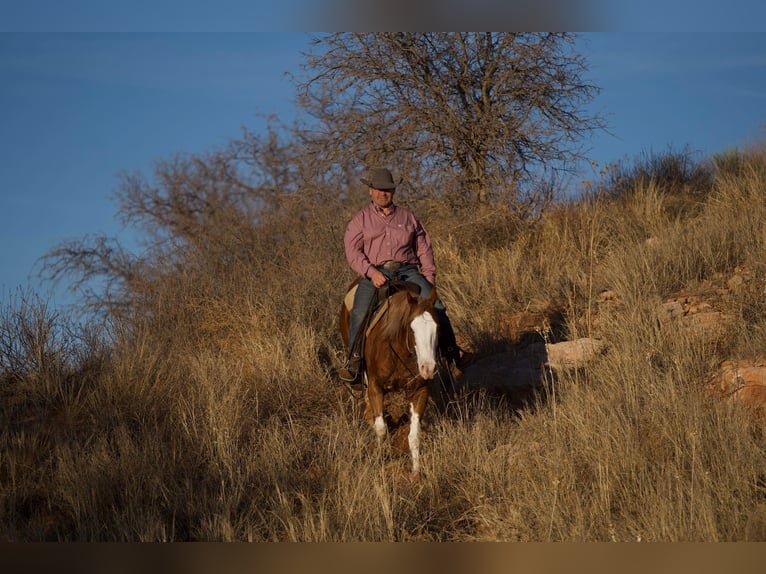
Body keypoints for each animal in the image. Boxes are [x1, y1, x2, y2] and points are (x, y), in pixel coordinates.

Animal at [340, 280, 440, 476]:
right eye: (412, 329)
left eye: (436, 327)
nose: (428, 368)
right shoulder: (375, 387)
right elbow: (381, 429)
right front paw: (379, 460)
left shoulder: (419, 390)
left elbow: (414, 436)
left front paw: (416, 472)